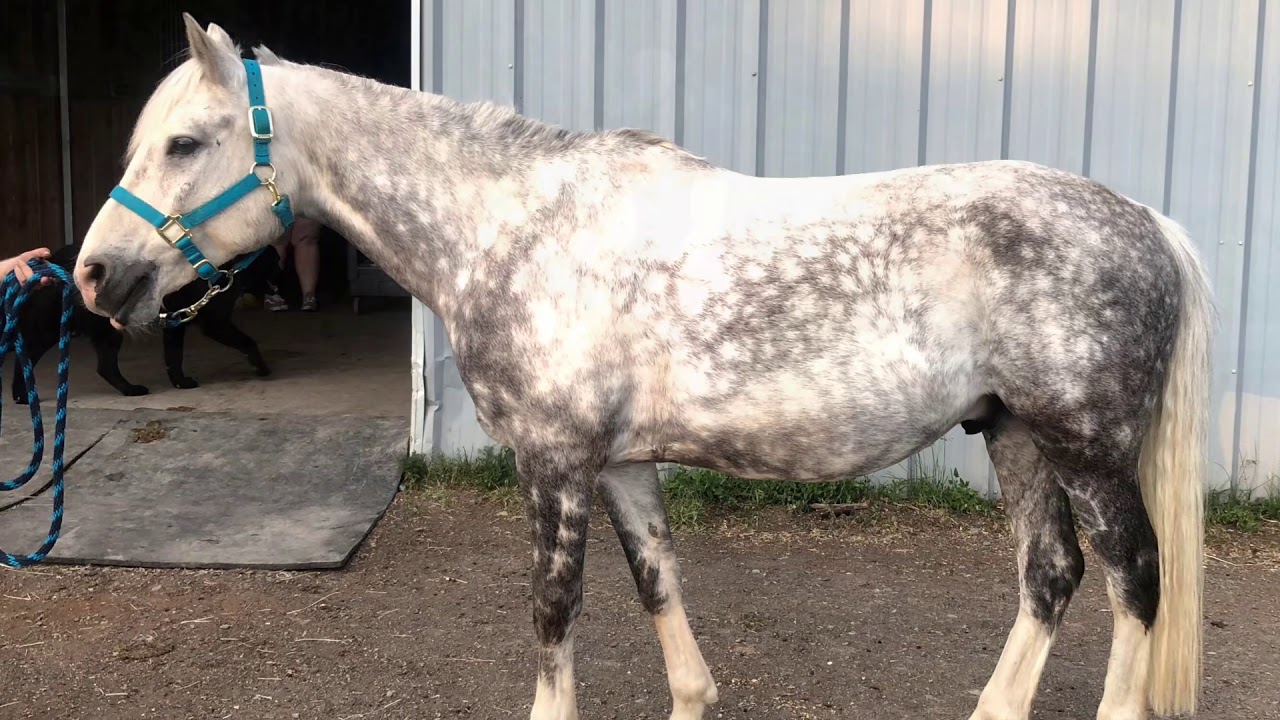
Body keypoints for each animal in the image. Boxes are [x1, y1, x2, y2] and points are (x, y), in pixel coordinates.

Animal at [70, 15, 1211, 720]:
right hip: (1014, 434)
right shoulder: (619, 465)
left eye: (185, 142)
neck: (512, 226)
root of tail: (1146, 221)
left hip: (1086, 449)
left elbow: (554, 610)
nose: (94, 275)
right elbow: (657, 580)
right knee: (1050, 576)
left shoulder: (553, 464)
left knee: (1133, 582)